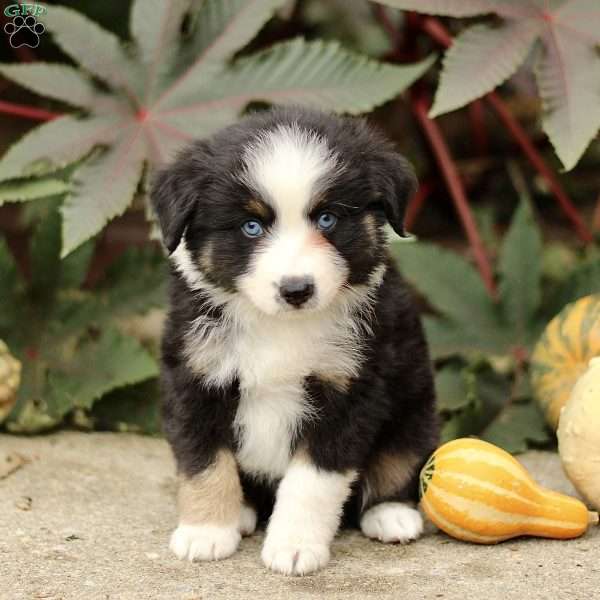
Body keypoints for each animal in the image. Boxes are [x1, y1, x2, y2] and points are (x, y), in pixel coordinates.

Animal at [151, 105, 436, 576]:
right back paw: (241, 512)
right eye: (251, 226)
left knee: (400, 458)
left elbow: (312, 481)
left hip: (414, 407)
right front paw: (206, 533)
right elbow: (205, 462)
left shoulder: (350, 389)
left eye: (327, 219)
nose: (296, 289)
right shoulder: (195, 377)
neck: (279, 325)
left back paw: (391, 514)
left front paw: (295, 547)